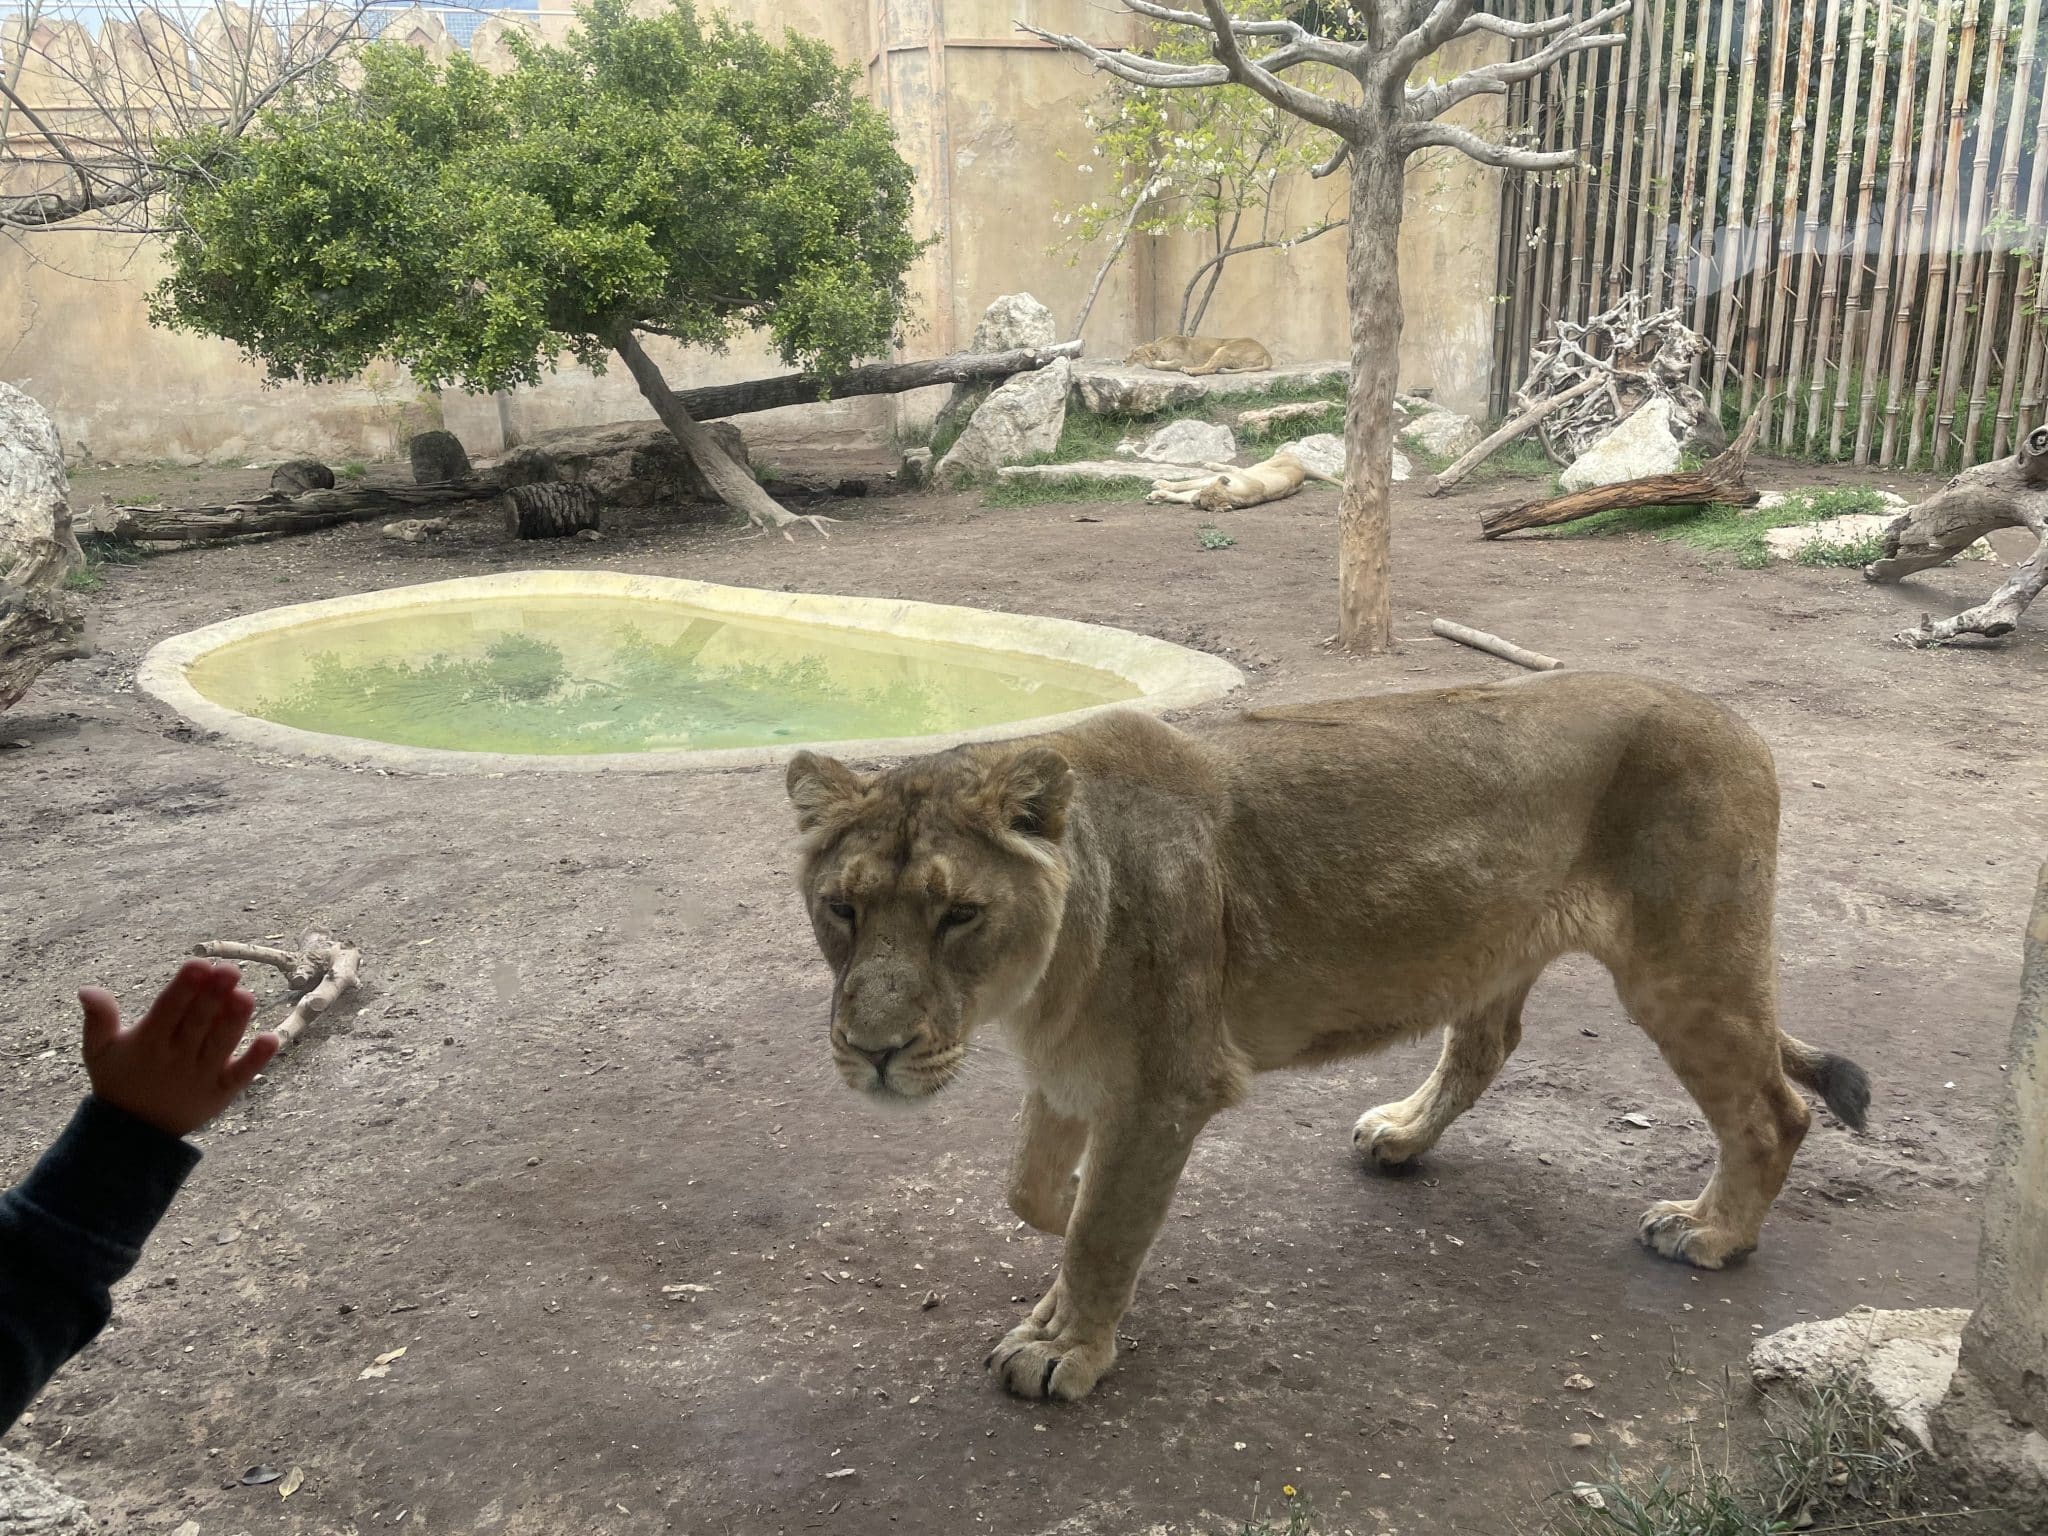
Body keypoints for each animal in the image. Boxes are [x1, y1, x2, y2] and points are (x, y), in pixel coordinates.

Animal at [782, 671, 1875, 1409]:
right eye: (841, 908)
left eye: (958, 915)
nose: (874, 1050)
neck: (1036, 983)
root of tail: (1729, 718)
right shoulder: (1073, 1072)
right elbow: (1033, 1190)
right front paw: (1061, 1241)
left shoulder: (1168, 1083)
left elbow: (1100, 1235)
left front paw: (1062, 1347)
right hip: (1491, 945)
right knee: (1486, 1045)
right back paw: (1401, 1135)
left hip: (1686, 966)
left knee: (1771, 1111)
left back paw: (1712, 1233)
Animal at [1130, 333, 1269, 372]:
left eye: (1135, 353)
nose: (1125, 360)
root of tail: (1267, 352)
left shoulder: (1187, 360)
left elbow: (1168, 364)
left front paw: (1149, 363)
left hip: (1225, 348)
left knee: (1210, 368)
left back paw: (1189, 371)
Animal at [1138, 448, 1343, 514]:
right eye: (1204, 495)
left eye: (1205, 505)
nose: (1195, 501)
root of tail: (1302, 467)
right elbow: (1186, 486)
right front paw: (1157, 491)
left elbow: (1184, 489)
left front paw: (1158, 491)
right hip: (1261, 464)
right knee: (1235, 468)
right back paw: (1212, 464)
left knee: (1235, 468)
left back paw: (1211, 464)